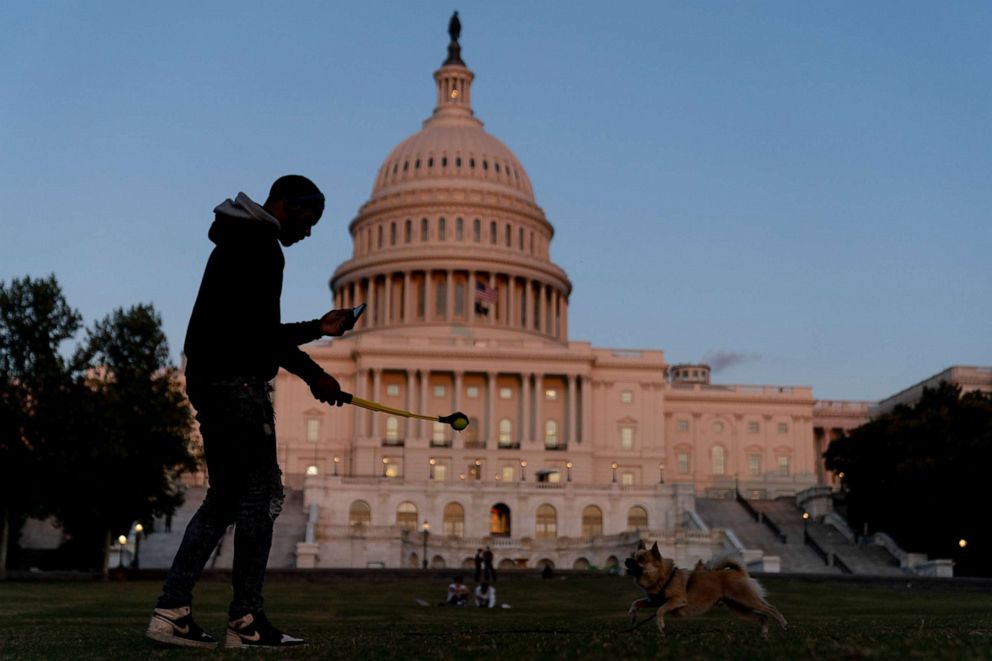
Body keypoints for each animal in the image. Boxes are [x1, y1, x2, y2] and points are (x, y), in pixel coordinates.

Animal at [624, 540, 788, 636]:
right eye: (633, 555)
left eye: (641, 559)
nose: (626, 559)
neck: (662, 577)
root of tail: (738, 571)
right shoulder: (653, 601)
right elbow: (636, 603)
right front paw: (632, 615)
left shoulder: (677, 600)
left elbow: (660, 611)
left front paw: (661, 625)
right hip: (739, 609)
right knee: (763, 617)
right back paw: (764, 635)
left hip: (747, 599)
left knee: (771, 609)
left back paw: (784, 624)